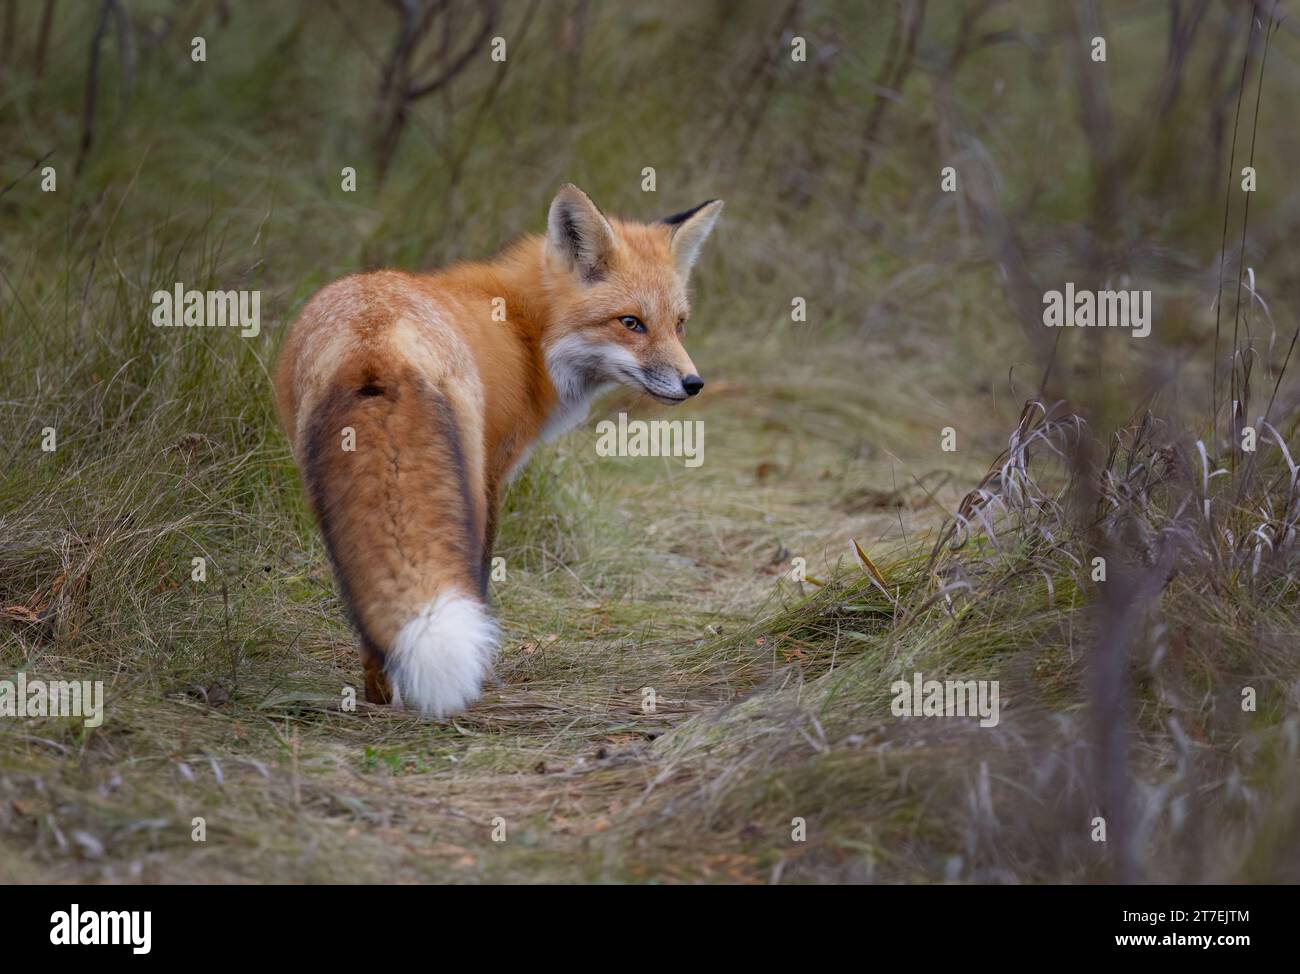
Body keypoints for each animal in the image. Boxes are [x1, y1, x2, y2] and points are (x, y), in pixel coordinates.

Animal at [274, 184, 722, 712]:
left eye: (679, 324)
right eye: (631, 323)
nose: (693, 383)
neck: (526, 331)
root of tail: (375, 335)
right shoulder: (494, 471)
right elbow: (483, 575)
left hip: (323, 485)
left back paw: (381, 697)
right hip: (461, 477)